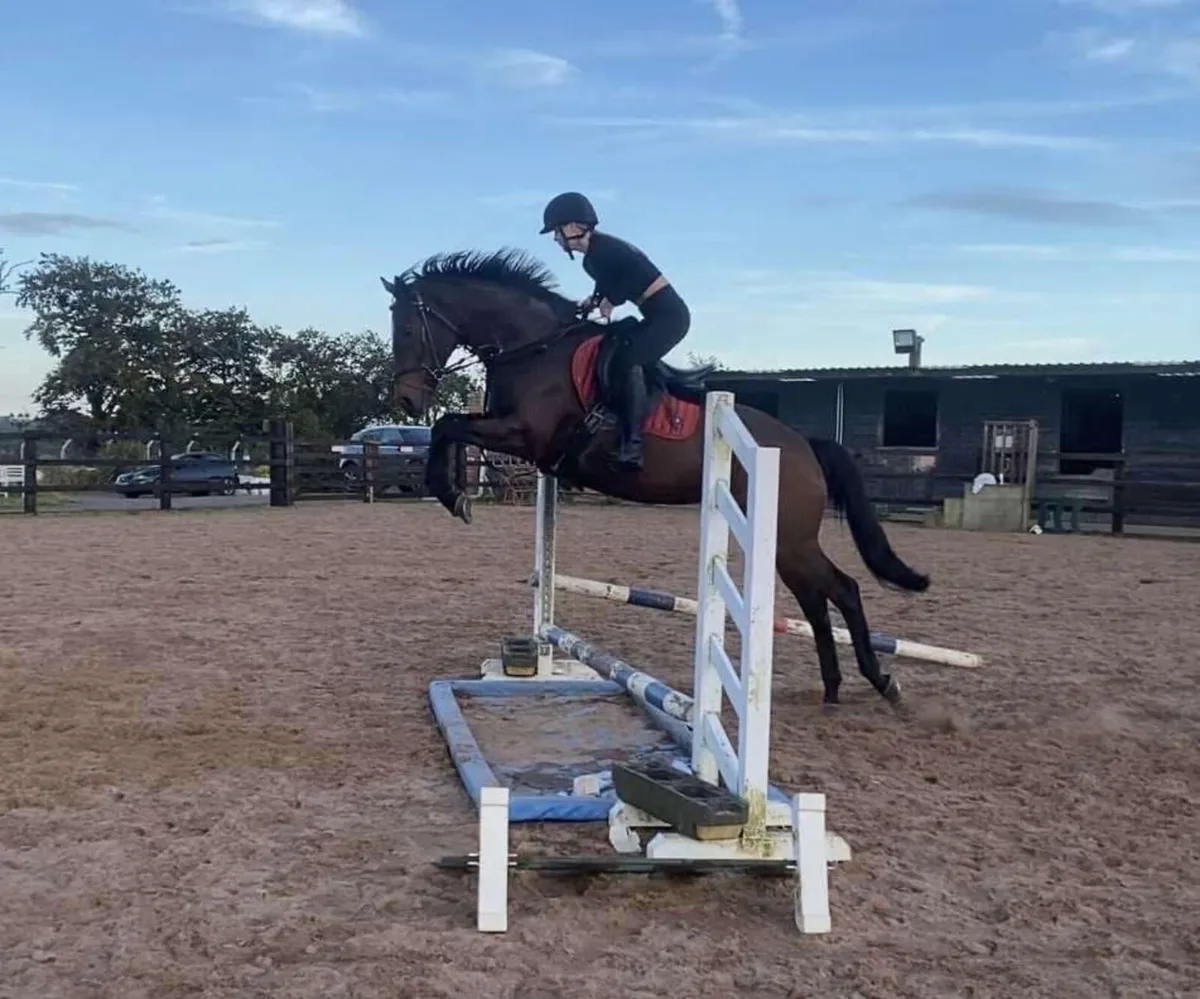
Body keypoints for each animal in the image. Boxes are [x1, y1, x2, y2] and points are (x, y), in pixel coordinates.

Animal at [382, 248, 931, 707]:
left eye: (407, 329)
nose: (406, 400)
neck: (533, 349)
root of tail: (802, 445)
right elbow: (450, 425)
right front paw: (454, 492)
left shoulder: (526, 435)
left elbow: (447, 424)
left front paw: (452, 496)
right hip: (784, 543)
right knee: (817, 601)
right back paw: (835, 686)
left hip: (790, 539)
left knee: (843, 590)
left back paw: (880, 681)